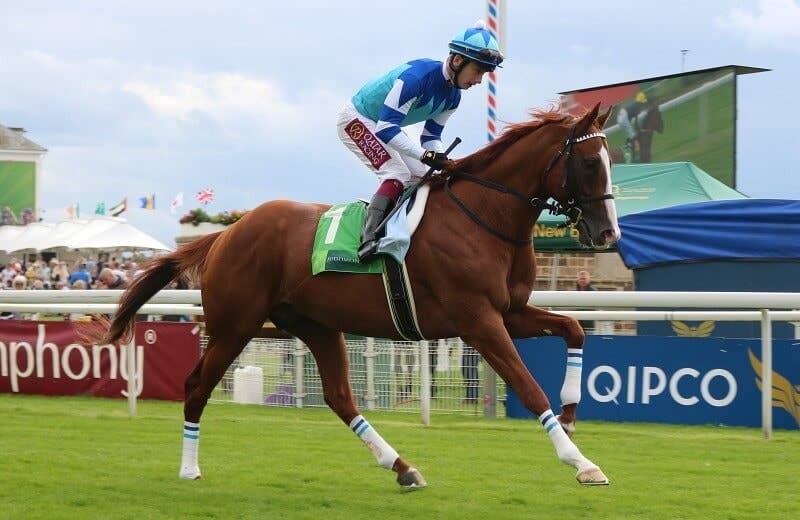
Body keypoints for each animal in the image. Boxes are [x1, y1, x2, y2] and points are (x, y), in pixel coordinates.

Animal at [85, 102, 621, 488]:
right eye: (589, 163)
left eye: (609, 161)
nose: (608, 232)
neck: (483, 215)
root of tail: (226, 232)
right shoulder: (478, 321)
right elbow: (529, 388)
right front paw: (581, 462)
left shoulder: (508, 311)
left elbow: (574, 329)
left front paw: (572, 412)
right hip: (234, 326)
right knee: (197, 387)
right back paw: (189, 469)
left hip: (315, 326)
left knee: (340, 397)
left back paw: (403, 467)